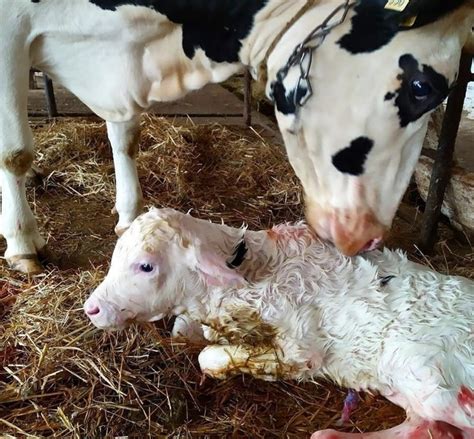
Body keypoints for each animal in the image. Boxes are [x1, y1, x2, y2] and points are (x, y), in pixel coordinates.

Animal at [0, 0, 474, 274]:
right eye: (422, 88)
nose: (372, 237)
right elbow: (15, 152)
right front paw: (23, 244)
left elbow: (126, 137)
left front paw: (130, 217)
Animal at [83, 208, 472, 438]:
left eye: (146, 266)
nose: (92, 308)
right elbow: (188, 333)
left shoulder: (300, 349)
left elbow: (209, 357)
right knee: (420, 427)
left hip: (433, 381)